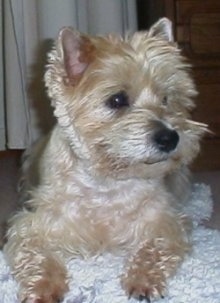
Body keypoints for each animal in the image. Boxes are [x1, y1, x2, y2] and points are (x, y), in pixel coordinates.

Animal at [3, 17, 207, 302]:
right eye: (117, 99)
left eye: (167, 98)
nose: (170, 138)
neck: (107, 182)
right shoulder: (32, 226)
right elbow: (38, 257)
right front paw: (42, 289)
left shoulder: (164, 222)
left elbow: (154, 247)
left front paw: (143, 280)